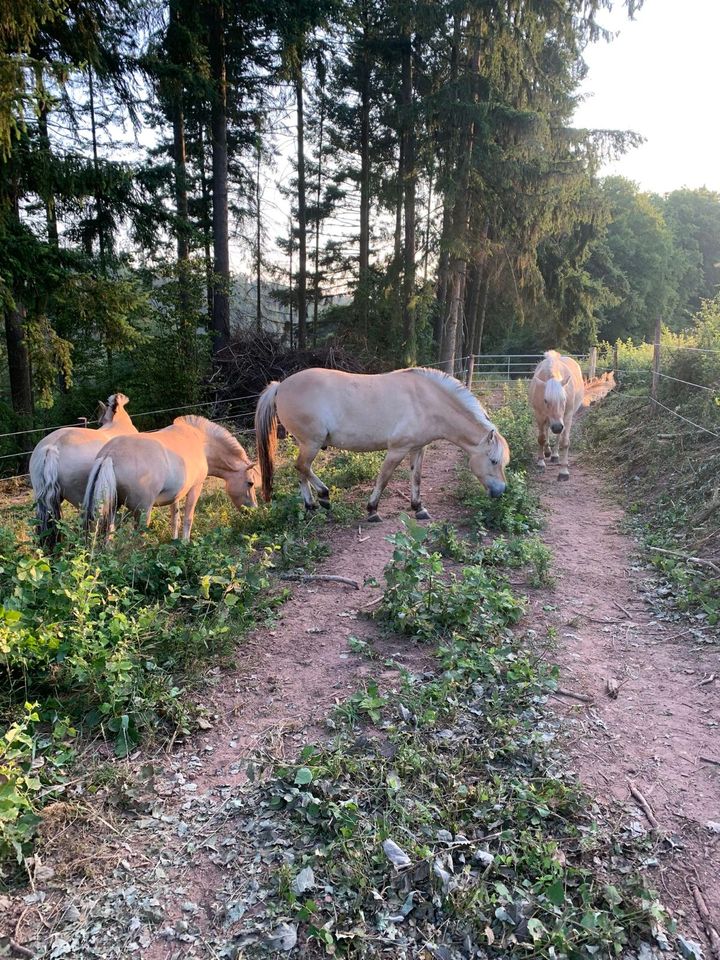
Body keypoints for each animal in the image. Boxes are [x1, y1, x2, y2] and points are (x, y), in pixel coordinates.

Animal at [83, 416, 258, 544]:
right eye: (250, 483)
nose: (254, 510)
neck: (201, 442)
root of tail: (109, 455)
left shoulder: (176, 495)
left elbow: (175, 518)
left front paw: (174, 540)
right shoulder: (195, 488)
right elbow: (188, 518)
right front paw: (185, 543)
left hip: (112, 508)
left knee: (109, 533)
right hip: (142, 511)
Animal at [256, 368, 510, 520]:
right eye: (493, 460)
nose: (501, 491)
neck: (427, 402)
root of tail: (280, 385)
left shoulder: (417, 449)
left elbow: (416, 478)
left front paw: (419, 508)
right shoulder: (397, 450)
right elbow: (384, 478)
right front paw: (372, 510)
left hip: (306, 444)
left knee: (301, 470)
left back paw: (310, 506)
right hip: (312, 443)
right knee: (302, 467)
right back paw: (324, 496)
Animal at [528, 348, 584, 480]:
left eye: (564, 399)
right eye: (545, 400)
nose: (558, 427)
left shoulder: (567, 416)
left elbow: (565, 442)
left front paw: (563, 471)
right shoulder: (539, 415)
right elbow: (541, 438)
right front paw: (540, 463)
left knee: (558, 436)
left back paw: (554, 455)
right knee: (547, 431)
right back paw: (547, 451)